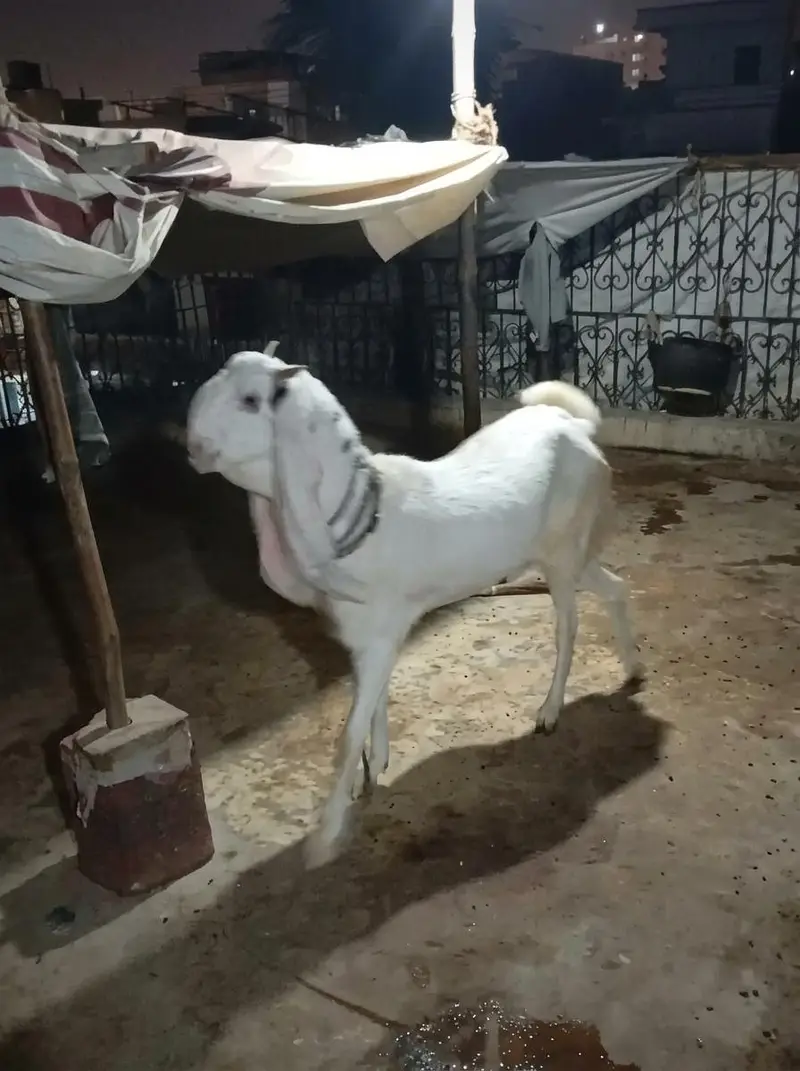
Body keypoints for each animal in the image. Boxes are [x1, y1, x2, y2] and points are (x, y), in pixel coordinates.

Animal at [186, 345, 643, 867]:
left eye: (250, 400)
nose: (191, 442)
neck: (359, 519)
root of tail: (576, 425)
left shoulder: (380, 635)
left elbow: (346, 736)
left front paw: (324, 839)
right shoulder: (370, 638)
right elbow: (373, 700)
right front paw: (375, 765)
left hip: (563, 553)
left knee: (568, 626)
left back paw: (549, 711)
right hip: (567, 553)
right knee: (617, 588)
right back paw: (633, 669)